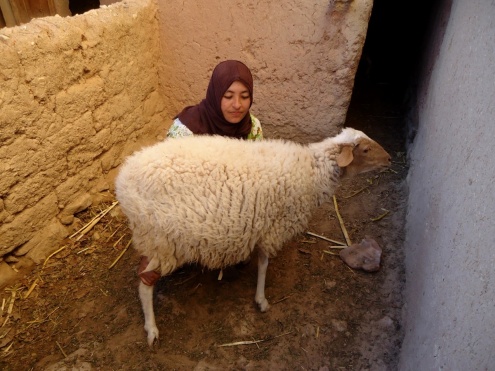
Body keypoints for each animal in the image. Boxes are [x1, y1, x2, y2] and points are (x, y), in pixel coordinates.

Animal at [115, 128, 392, 346]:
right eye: (365, 149)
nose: (390, 158)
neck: (312, 173)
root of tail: (122, 182)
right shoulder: (273, 228)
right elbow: (264, 265)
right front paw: (261, 300)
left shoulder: (264, 227)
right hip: (160, 240)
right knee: (144, 285)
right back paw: (152, 329)